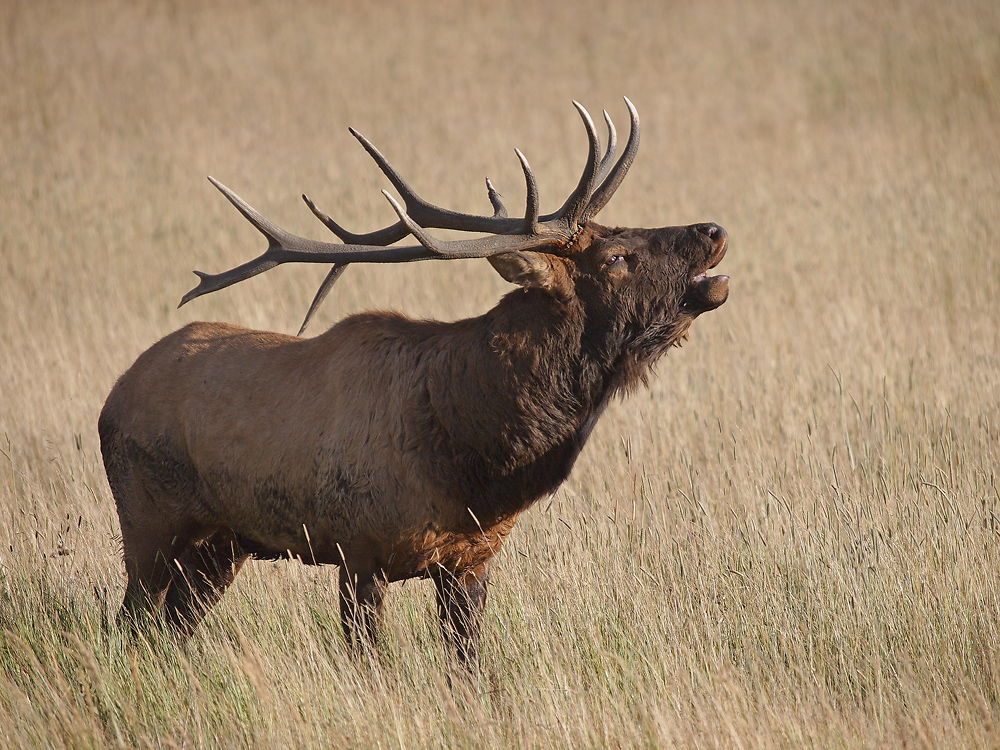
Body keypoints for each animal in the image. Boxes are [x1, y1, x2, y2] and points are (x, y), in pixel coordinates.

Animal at [98, 99, 730, 666]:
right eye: (617, 256)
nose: (713, 229)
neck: (473, 461)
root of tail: (112, 397)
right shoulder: (358, 549)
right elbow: (369, 662)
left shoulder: (471, 560)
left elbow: (469, 666)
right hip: (149, 520)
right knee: (130, 623)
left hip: (224, 542)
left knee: (173, 627)